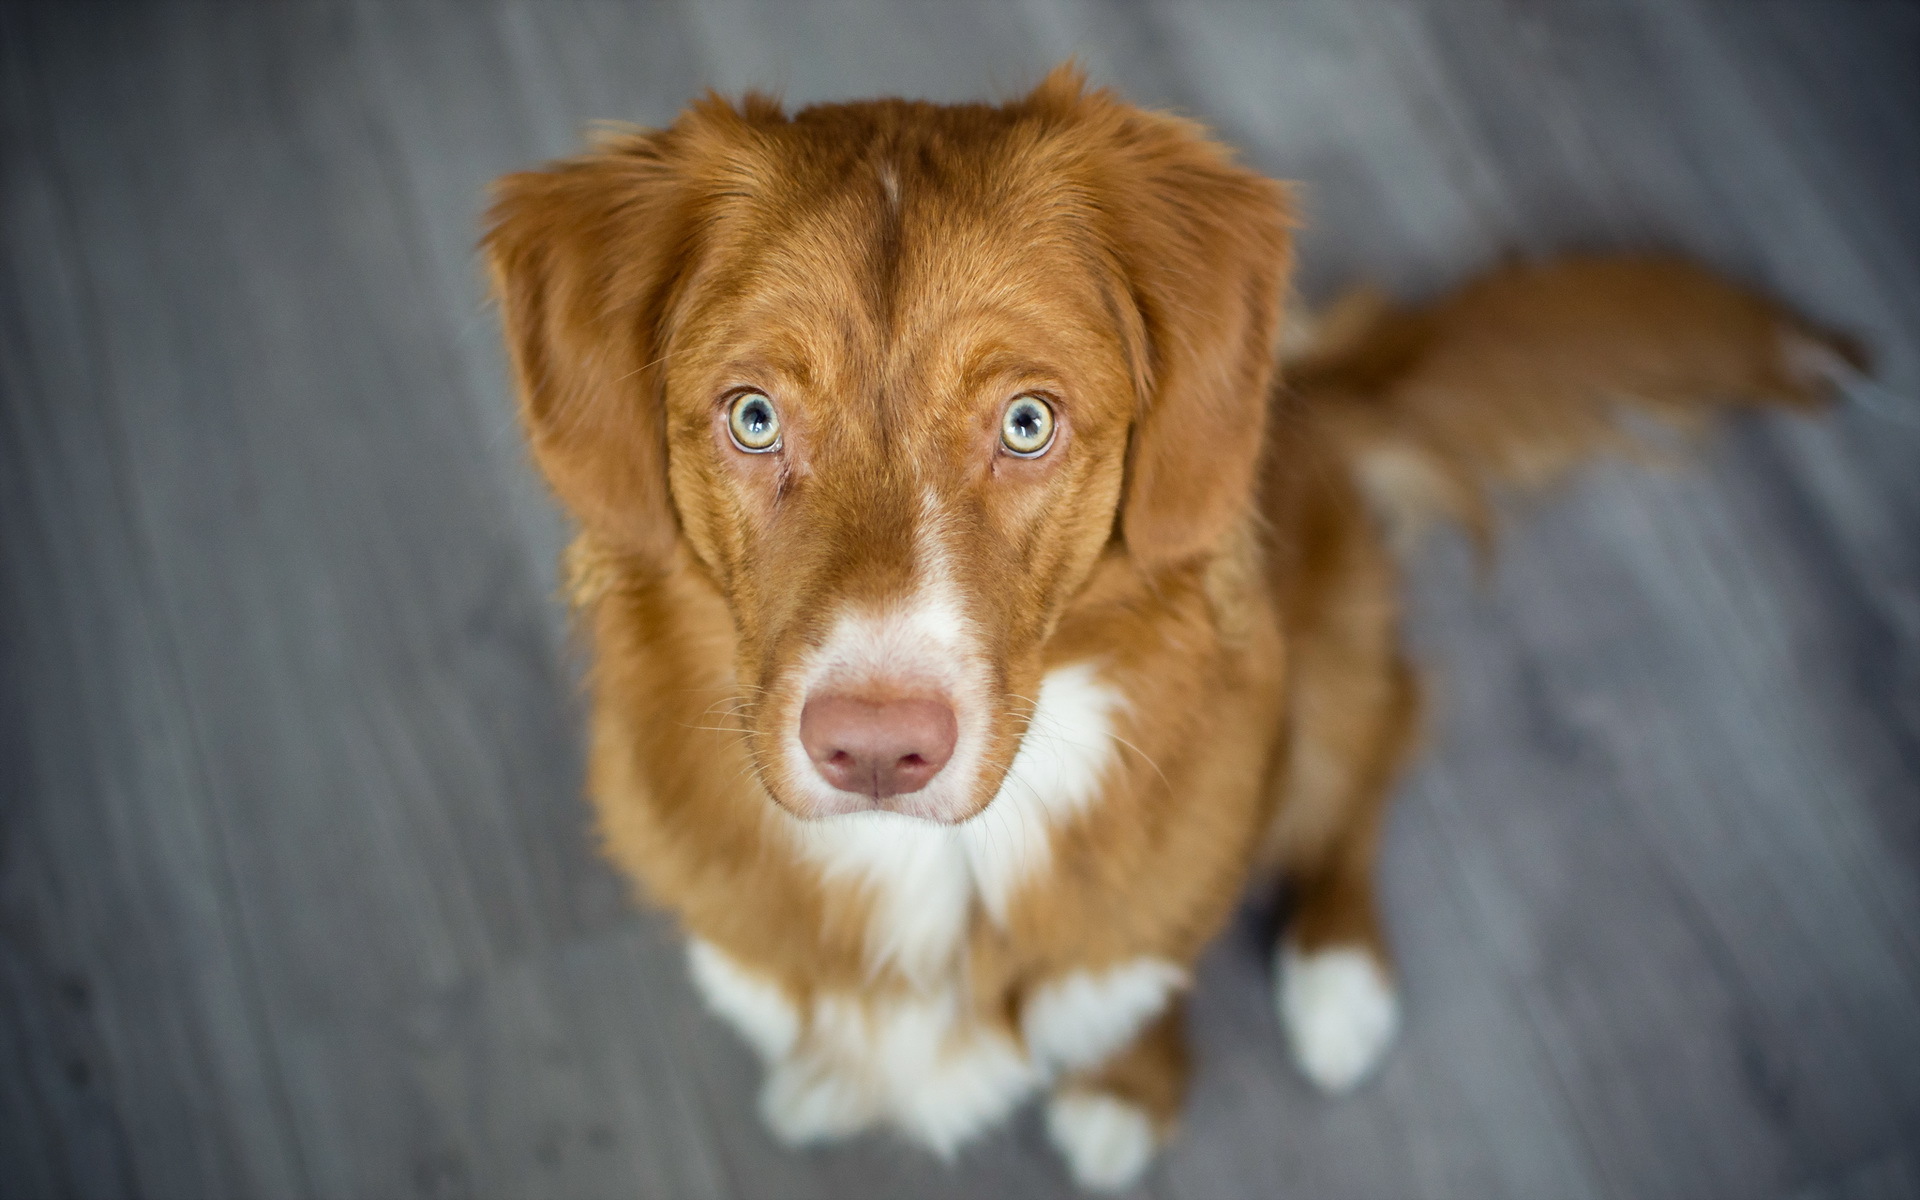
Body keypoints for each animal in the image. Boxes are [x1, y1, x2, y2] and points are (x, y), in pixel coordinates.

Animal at [487, 67, 1850, 1190]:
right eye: (754, 417)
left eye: (1028, 423)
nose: (877, 749)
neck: (940, 871)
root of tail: (1310, 397)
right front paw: (827, 1072)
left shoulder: (1178, 872)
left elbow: (1143, 984)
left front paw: (1130, 1095)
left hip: (1330, 656)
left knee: (1365, 767)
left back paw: (1339, 978)